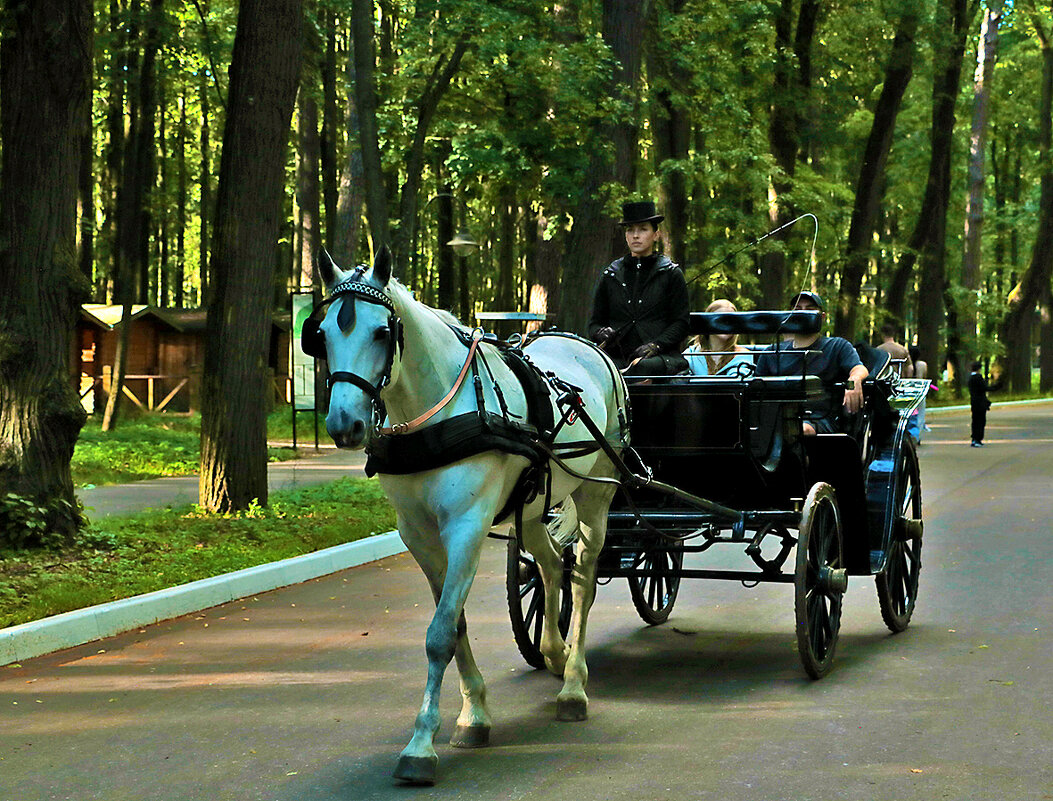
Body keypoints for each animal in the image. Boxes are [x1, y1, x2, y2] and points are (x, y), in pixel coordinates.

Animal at [307, 248, 627, 783]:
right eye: (323, 332)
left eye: (381, 332)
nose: (344, 424)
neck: (433, 415)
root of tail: (589, 347)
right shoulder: (418, 534)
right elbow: (453, 624)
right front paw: (474, 713)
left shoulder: (466, 527)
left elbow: (439, 634)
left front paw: (421, 745)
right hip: (532, 506)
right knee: (549, 565)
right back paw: (553, 652)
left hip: (596, 494)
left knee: (582, 578)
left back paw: (573, 687)